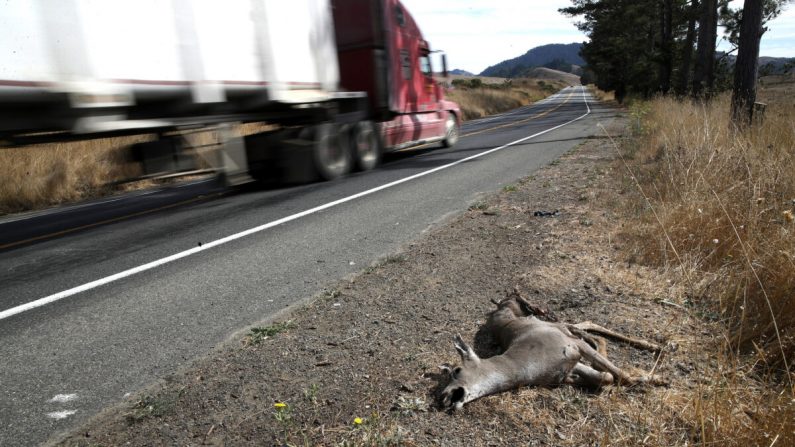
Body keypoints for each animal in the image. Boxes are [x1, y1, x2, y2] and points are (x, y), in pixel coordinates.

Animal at [438, 292, 668, 412]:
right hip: (560, 327)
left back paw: (656, 347)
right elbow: (606, 377)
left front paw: (656, 379)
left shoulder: (571, 346)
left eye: (456, 370)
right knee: (585, 327)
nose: (444, 396)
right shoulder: (568, 367)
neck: (525, 365)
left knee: (586, 329)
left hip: (554, 324)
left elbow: (622, 376)